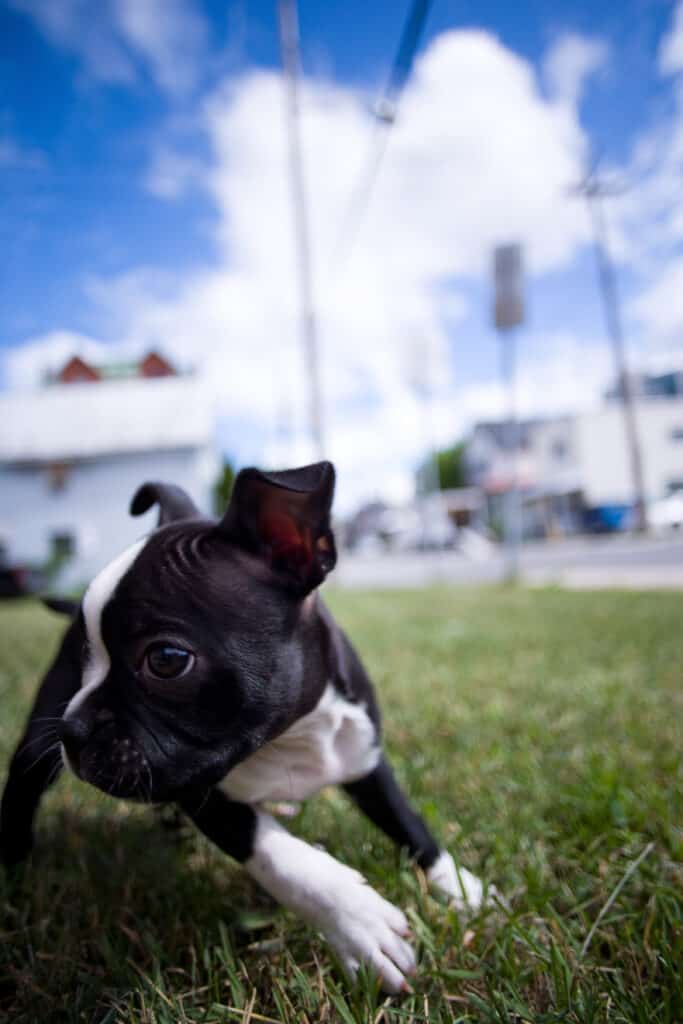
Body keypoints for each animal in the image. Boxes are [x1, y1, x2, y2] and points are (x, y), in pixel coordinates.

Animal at [1, 462, 491, 991]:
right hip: (38, 743)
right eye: (83, 651)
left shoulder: (364, 756)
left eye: (166, 660)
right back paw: (14, 869)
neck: (292, 735)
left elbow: (405, 821)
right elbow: (276, 852)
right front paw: (357, 920)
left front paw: (459, 888)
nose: (73, 728)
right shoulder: (203, 791)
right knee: (23, 782)